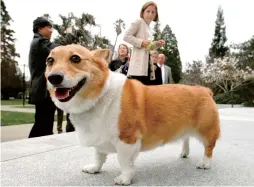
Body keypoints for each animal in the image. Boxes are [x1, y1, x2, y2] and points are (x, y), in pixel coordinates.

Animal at [45, 44, 220, 186]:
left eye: (75, 58)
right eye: (50, 60)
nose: (53, 77)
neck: (99, 96)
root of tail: (205, 90)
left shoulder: (127, 140)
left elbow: (124, 162)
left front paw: (124, 179)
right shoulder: (99, 137)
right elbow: (98, 156)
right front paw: (94, 168)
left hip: (206, 130)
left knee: (209, 147)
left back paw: (205, 163)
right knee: (186, 138)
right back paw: (184, 153)